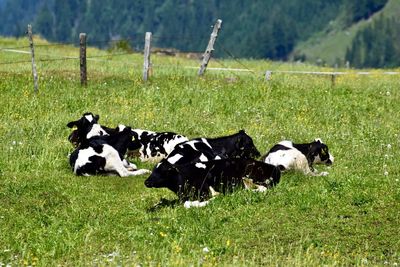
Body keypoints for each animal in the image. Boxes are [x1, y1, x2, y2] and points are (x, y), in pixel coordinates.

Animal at [145, 158, 282, 208]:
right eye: (153, 170)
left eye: (163, 171)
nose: (146, 182)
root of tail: (274, 167)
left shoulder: (204, 192)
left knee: (262, 188)